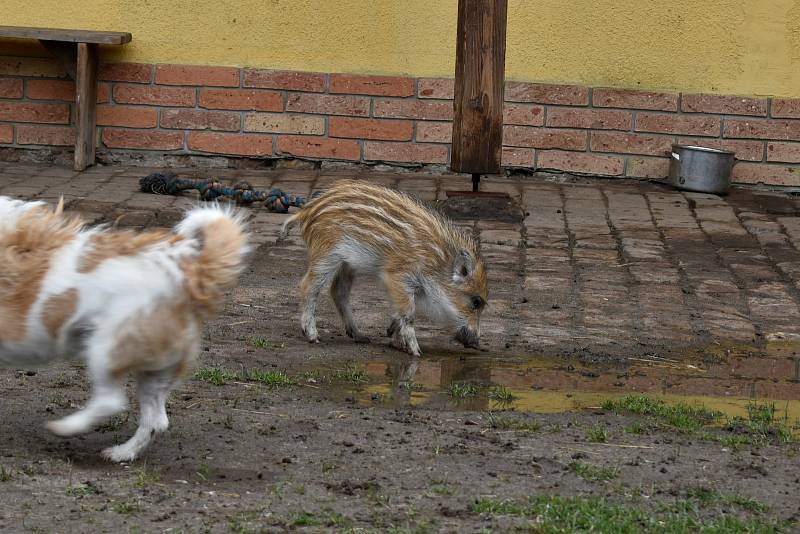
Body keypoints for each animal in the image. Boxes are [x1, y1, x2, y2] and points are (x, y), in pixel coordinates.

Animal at [0, 199, 247, 462]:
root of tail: (189, 273)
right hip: (156, 370)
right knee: (156, 420)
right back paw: (123, 453)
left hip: (106, 347)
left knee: (111, 401)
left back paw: (67, 427)